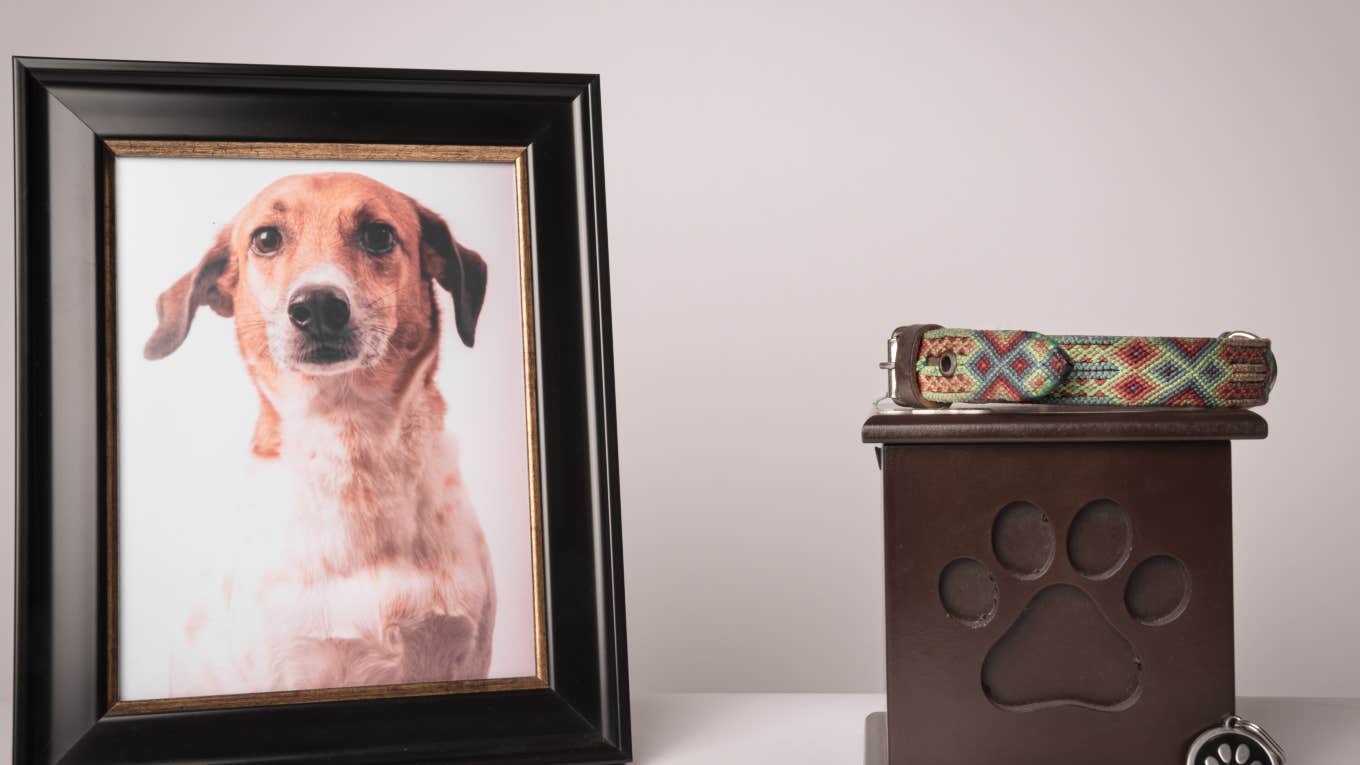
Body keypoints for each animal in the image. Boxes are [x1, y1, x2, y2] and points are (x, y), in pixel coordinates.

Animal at [147, 172, 495, 696]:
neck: (352, 447)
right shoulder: (288, 666)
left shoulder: (466, 654)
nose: (317, 305)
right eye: (266, 239)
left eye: (378, 234)